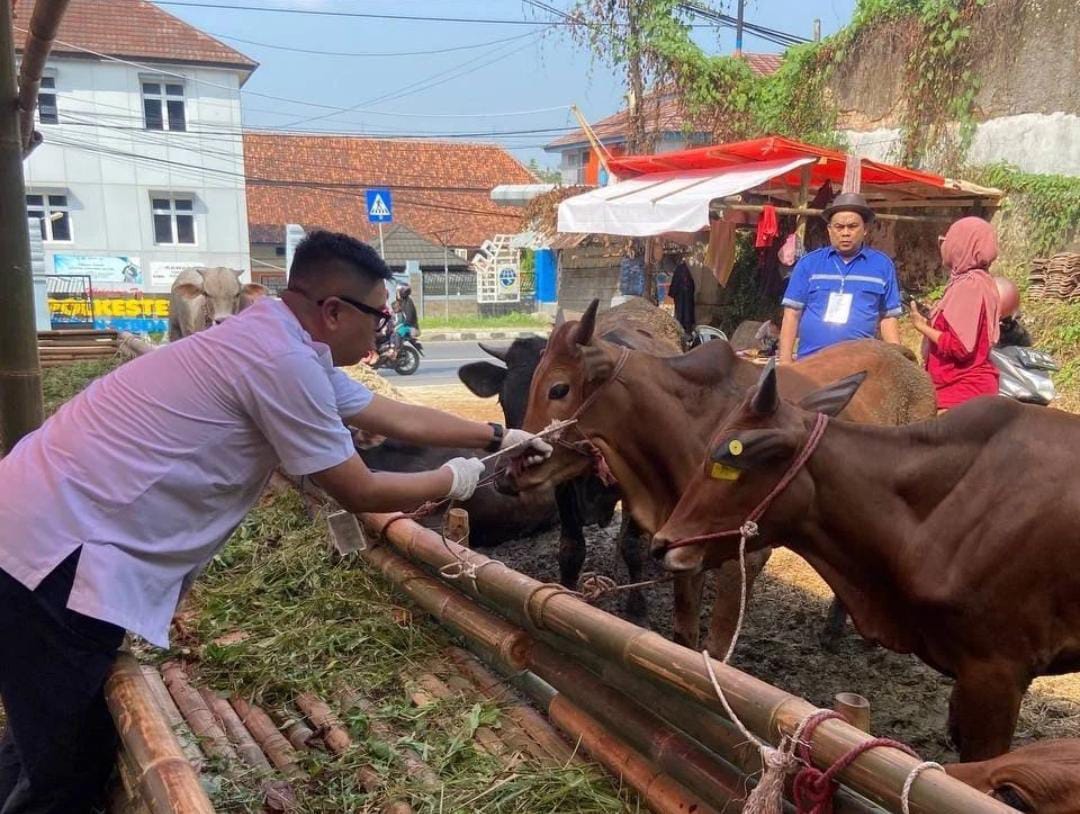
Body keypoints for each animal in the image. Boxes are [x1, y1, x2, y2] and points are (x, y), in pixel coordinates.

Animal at [457, 336, 648, 621]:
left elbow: (632, 546)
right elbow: (571, 551)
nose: (506, 476)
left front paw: (637, 609)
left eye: (558, 394)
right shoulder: (563, 491)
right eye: (504, 400)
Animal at [509, 302, 933, 652]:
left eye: (558, 388)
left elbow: (716, 646)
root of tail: (903, 356)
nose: (515, 465)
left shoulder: (745, 556)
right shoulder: (678, 548)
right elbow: (684, 635)